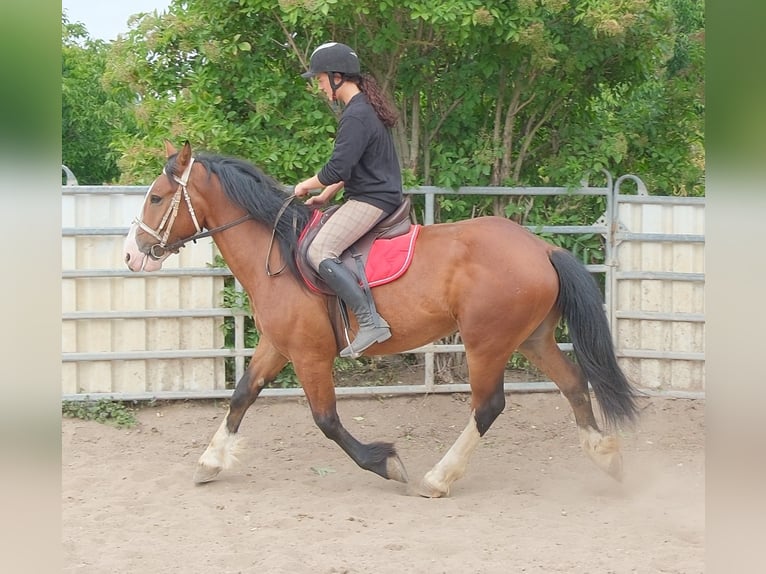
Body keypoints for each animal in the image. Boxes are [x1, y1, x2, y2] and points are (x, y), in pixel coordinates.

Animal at [123, 140, 638, 497]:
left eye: (157, 198)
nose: (131, 255)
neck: (279, 254)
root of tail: (542, 248)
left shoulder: (309, 355)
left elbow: (326, 420)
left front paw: (385, 463)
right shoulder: (277, 345)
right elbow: (241, 396)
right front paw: (210, 462)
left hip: (486, 343)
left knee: (488, 406)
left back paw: (438, 478)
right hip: (532, 339)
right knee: (573, 384)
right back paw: (606, 456)